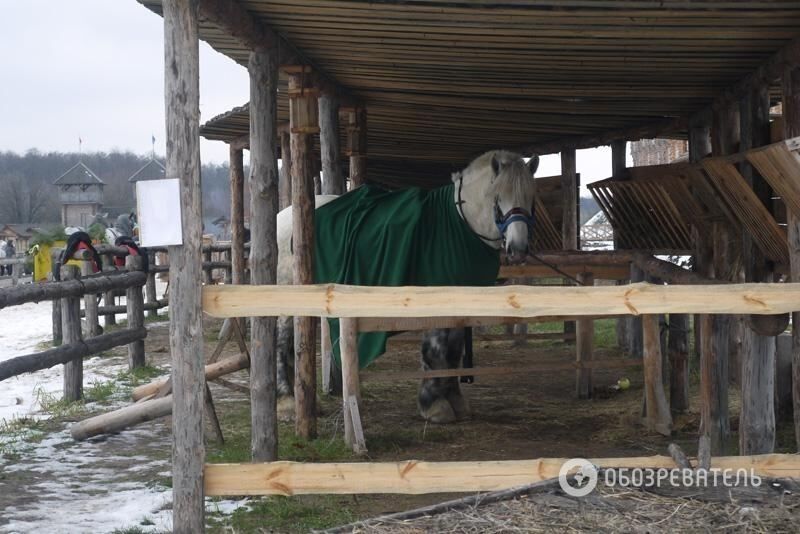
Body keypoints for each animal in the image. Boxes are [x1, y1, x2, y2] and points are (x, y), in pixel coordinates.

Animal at [274, 151, 536, 422]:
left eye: (530, 197)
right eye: (498, 197)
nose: (517, 251)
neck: (459, 226)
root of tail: (284, 217)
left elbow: (453, 352)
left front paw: (455, 401)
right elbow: (435, 351)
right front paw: (434, 405)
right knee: (281, 342)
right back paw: (286, 401)